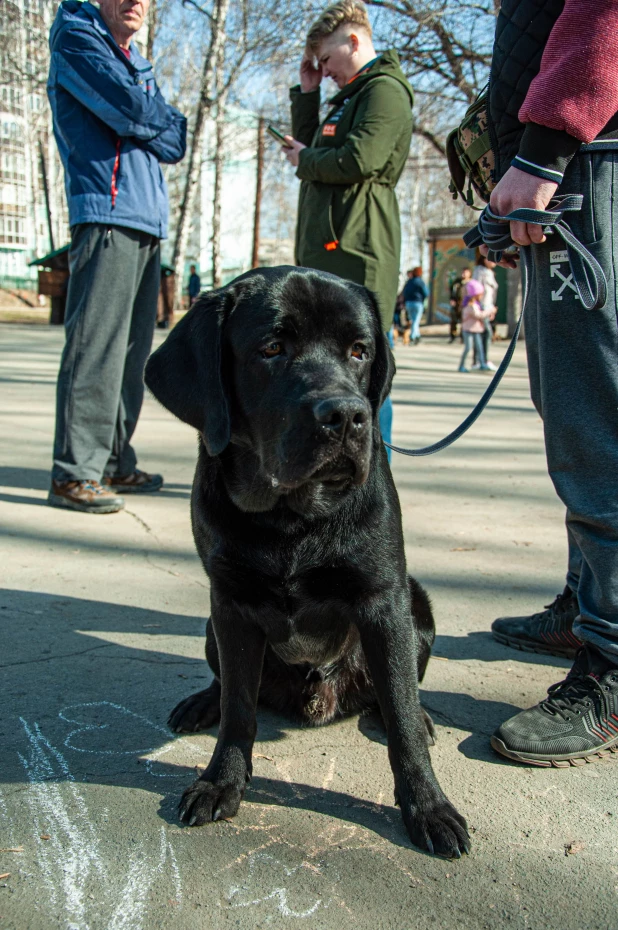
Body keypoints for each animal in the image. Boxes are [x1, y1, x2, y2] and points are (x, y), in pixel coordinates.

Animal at [144, 262, 470, 856]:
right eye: (273, 347)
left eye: (360, 350)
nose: (346, 415)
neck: (291, 519)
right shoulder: (230, 604)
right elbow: (239, 711)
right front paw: (221, 782)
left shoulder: (383, 602)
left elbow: (405, 726)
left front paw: (429, 808)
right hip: (209, 623)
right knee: (228, 685)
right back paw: (201, 702)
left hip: (418, 611)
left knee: (397, 697)